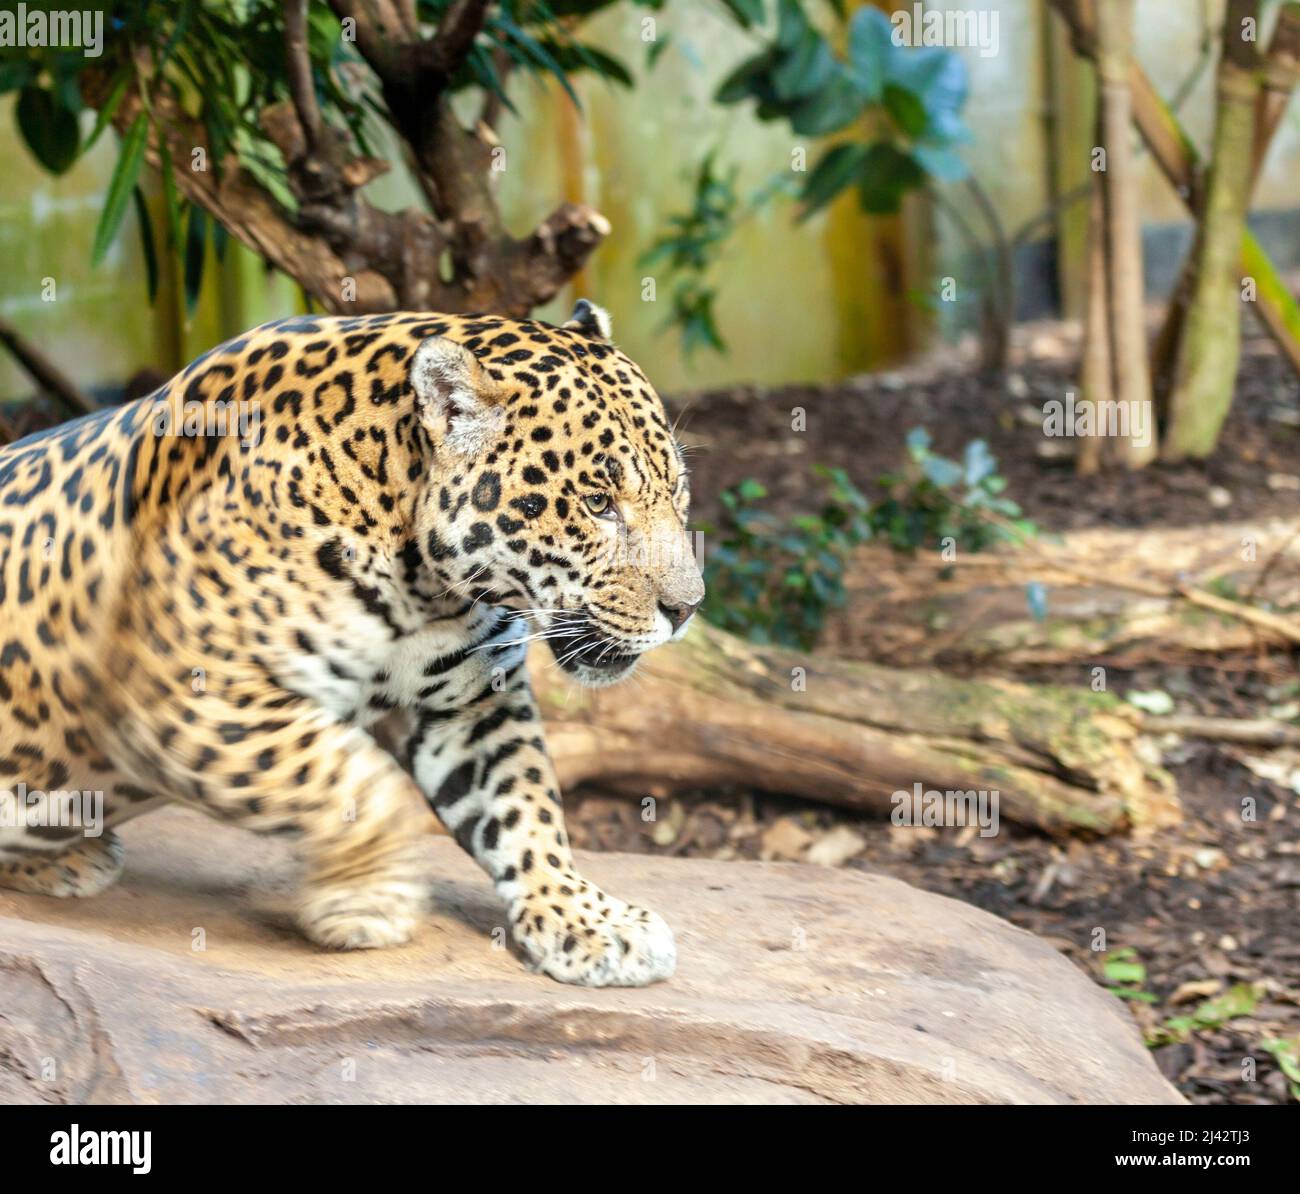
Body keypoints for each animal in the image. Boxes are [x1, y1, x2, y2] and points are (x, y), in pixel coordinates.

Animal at [0, 299, 703, 987]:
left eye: (677, 488)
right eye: (598, 502)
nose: (687, 608)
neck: (422, 582)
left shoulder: (472, 706)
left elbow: (523, 804)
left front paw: (586, 920)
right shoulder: (186, 691)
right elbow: (355, 780)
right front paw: (370, 901)